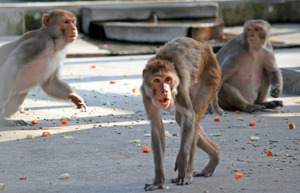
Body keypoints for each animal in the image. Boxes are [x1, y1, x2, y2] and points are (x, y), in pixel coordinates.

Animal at [141, 37, 220, 191]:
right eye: (157, 80)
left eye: (168, 79)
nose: (165, 90)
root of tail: (206, 47)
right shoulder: (145, 94)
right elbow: (157, 126)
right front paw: (158, 179)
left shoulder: (180, 86)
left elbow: (189, 116)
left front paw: (182, 161)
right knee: (181, 118)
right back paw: (215, 155)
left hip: (211, 77)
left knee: (193, 117)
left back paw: (188, 173)